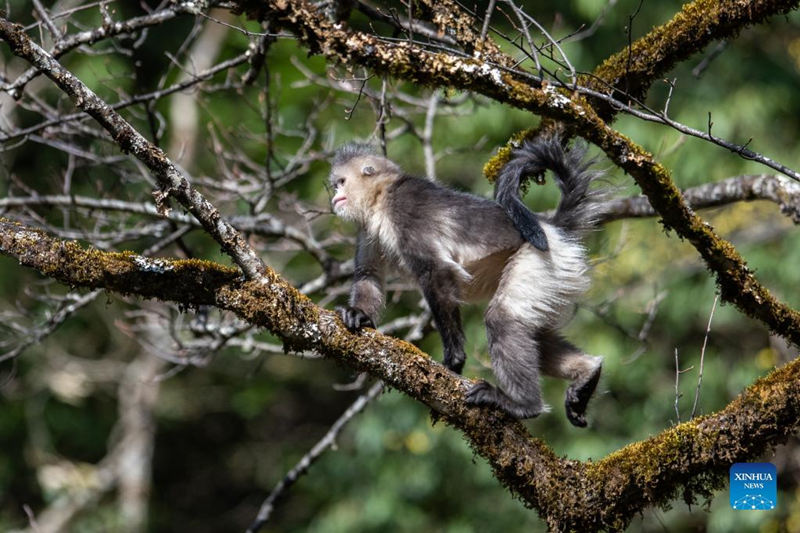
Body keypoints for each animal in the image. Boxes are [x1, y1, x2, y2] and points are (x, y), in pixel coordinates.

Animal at [332, 136, 608, 424]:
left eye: (341, 182)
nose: (334, 195)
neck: (382, 197)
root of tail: (551, 227)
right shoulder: (367, 228)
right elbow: (369, 274)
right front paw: (359, 315)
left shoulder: (403, 210)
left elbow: (436, 270)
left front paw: (454, 362)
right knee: (533, 331)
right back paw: (587, 372)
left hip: (540, 259)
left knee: (501, 318)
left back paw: (523, 405)